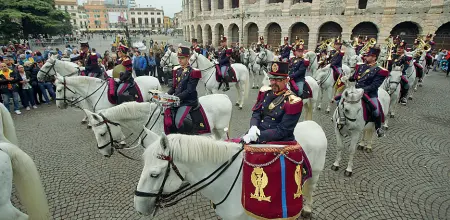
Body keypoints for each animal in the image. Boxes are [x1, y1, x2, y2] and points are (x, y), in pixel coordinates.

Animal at [134, 120, 326, 218]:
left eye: (154, 174)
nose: (138, 207)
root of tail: (314, 124)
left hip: (316, 174)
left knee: (311, 189)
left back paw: (307, 209)